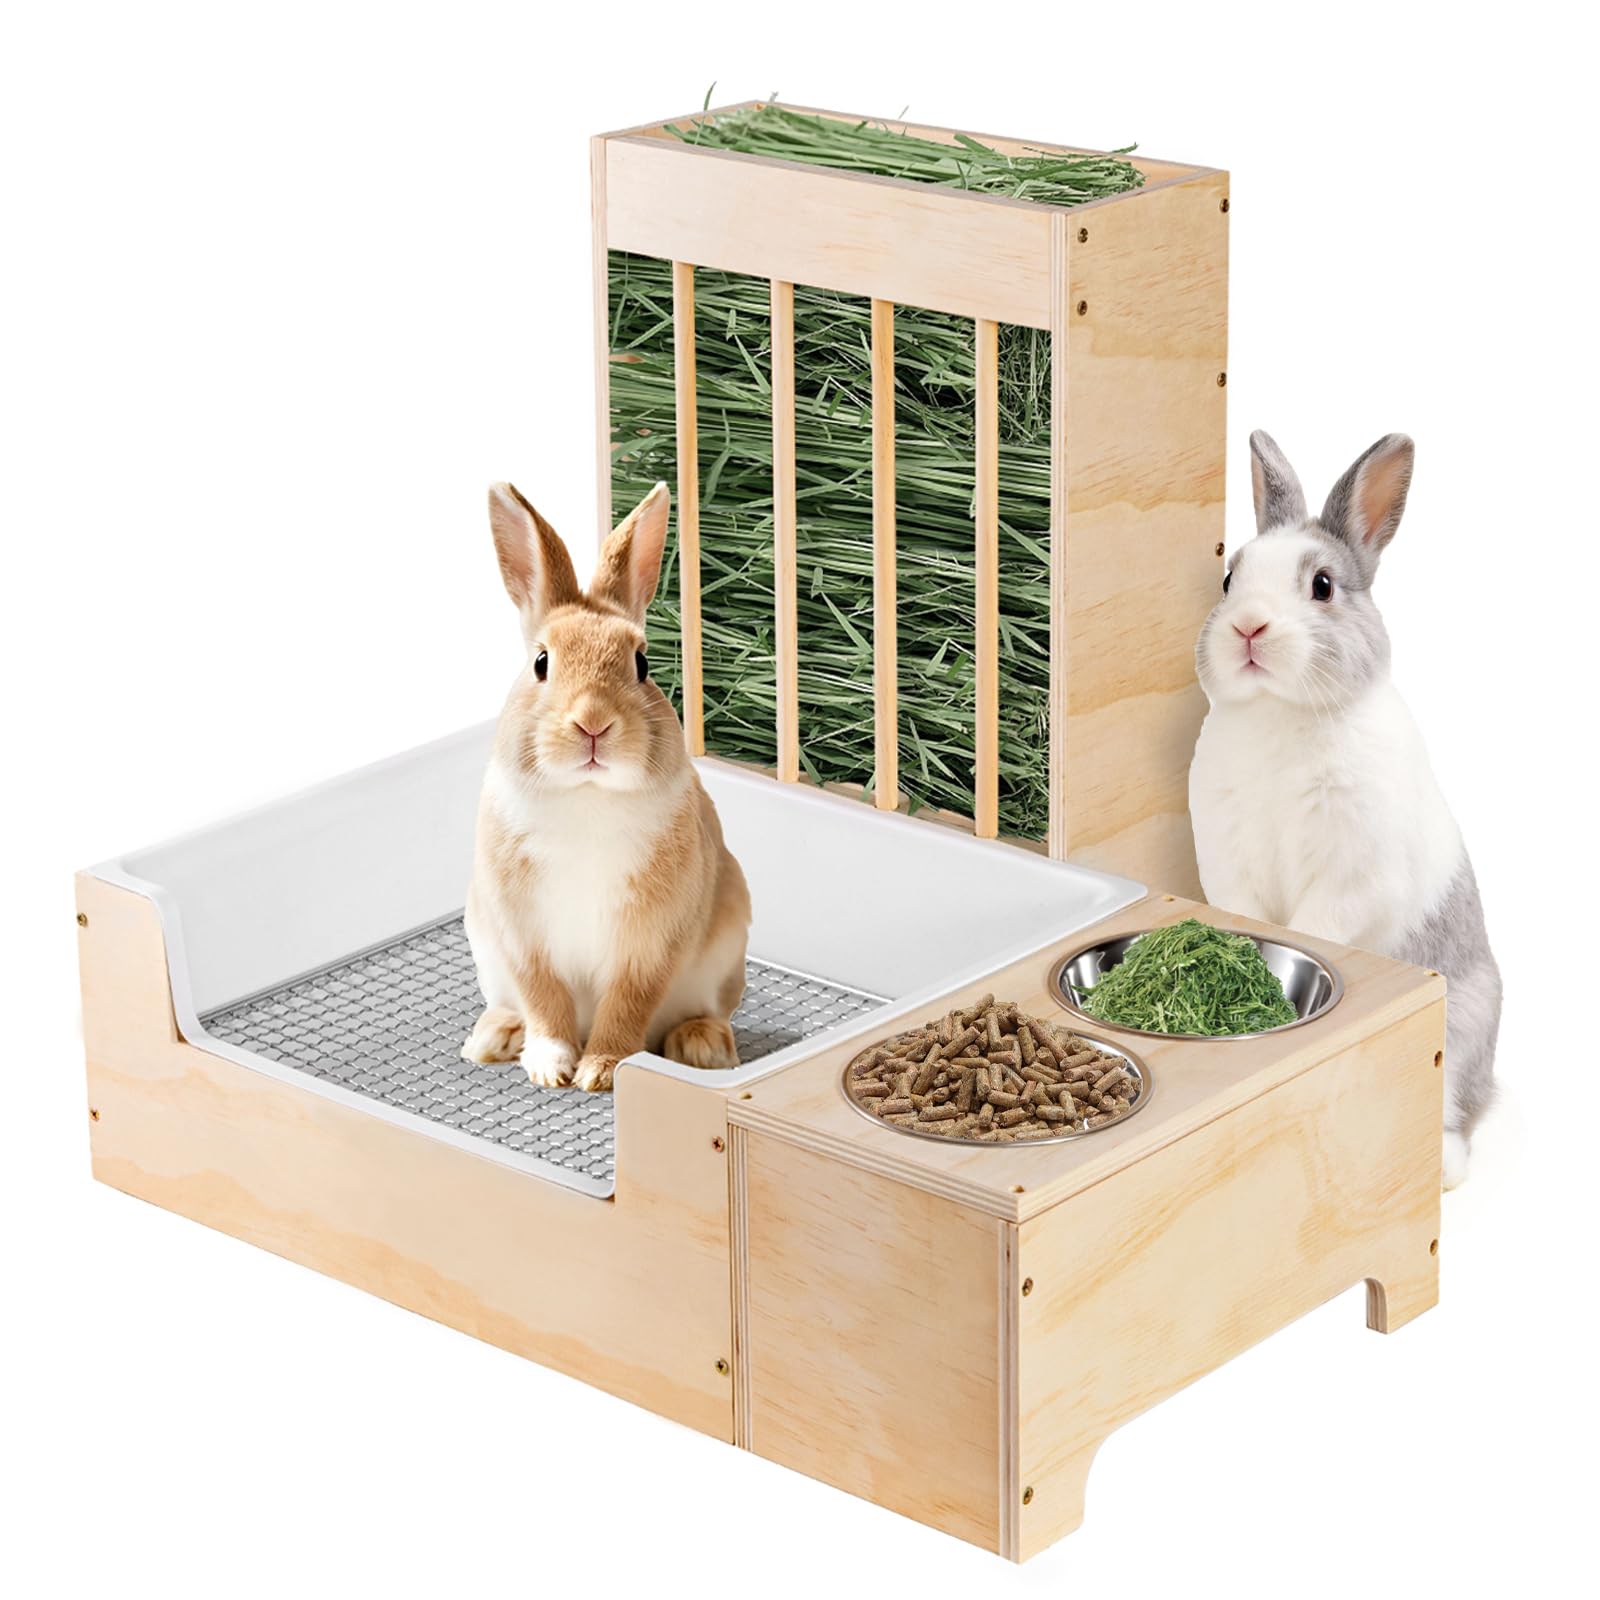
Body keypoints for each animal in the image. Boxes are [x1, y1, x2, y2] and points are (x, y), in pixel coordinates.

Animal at [461, 479, 751, 1093]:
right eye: (541, 662)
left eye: (641, 664)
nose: (593, 722)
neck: (586, 797)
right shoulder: (522, 935)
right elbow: (544, 1000)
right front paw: (551, 1068)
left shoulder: (649, 942)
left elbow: (628, 1002)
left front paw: (601, 1071)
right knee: (515, 1005)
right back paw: (494, 1038)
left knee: (703, 1012)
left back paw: (702, 1047)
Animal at [1189, 430, 1500, 1189]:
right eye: (1230, 580)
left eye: (1323, 586)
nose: (1248, 628)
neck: (1280, 714)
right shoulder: (1229, 867)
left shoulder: (1354, 878)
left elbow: (1318, 924)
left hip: (1464, 1024)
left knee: (1455, 1104)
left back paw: (1445, 1169)